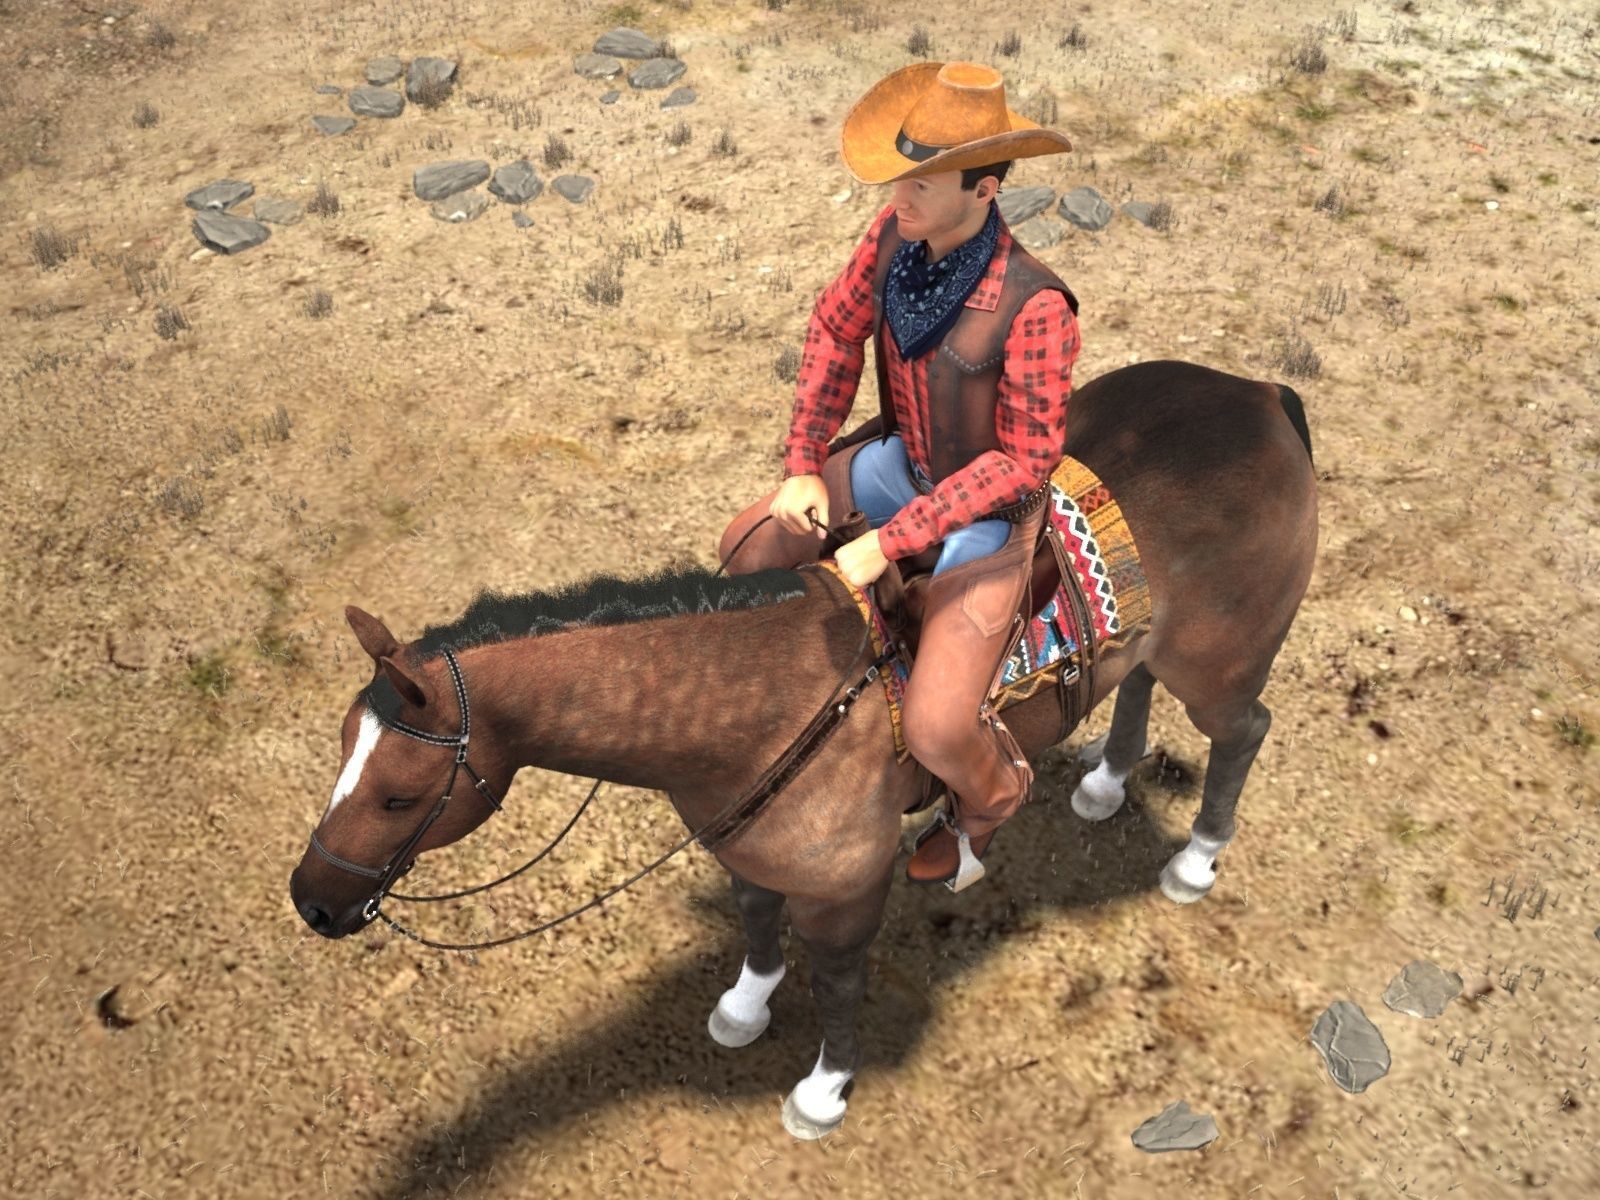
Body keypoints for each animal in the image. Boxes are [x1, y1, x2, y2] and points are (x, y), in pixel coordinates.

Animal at [289, 359, 1317, 1141]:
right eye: (341, 757)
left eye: (398, 794)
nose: (312, 902)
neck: (757, 701)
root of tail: (1260, 397)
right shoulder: (744, 845)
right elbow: (753, 921)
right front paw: (745, 1007)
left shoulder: (845, 892)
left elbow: (838, 981)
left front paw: (822, 1093)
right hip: (1151, 649)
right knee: (1134, 684)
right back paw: (1102, 785)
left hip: (1219, 669)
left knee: (1243, 735)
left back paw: (1193, 862)